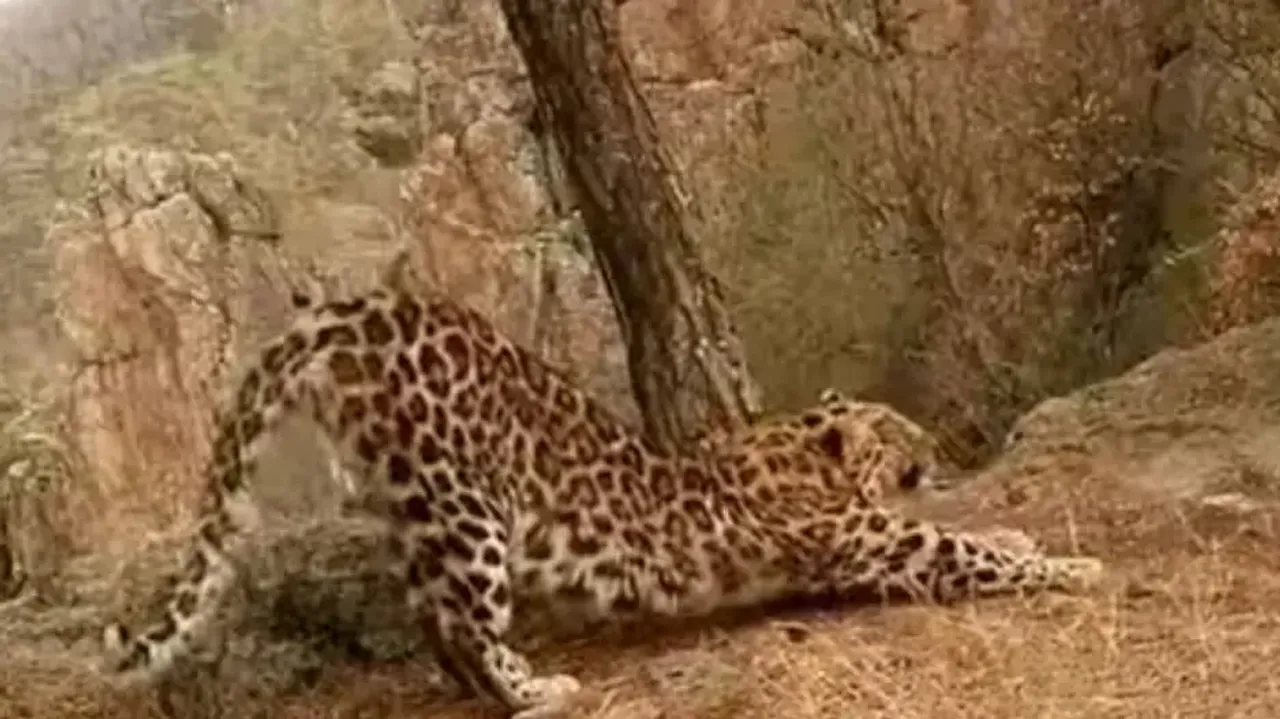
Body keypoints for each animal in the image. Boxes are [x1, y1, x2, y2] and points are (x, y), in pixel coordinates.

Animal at [99, 286, 1104, 719]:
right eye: (899, 429)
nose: (936, 446)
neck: (797, 452)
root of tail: (350, 310)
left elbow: (969, 529)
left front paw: (1024, 532)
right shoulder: (870, 545)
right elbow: (959, 546)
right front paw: (1072, 561)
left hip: (408, 503)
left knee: (431, 617)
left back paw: (486, 690)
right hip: (469, 506)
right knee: (468, 619)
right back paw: (540, 690)